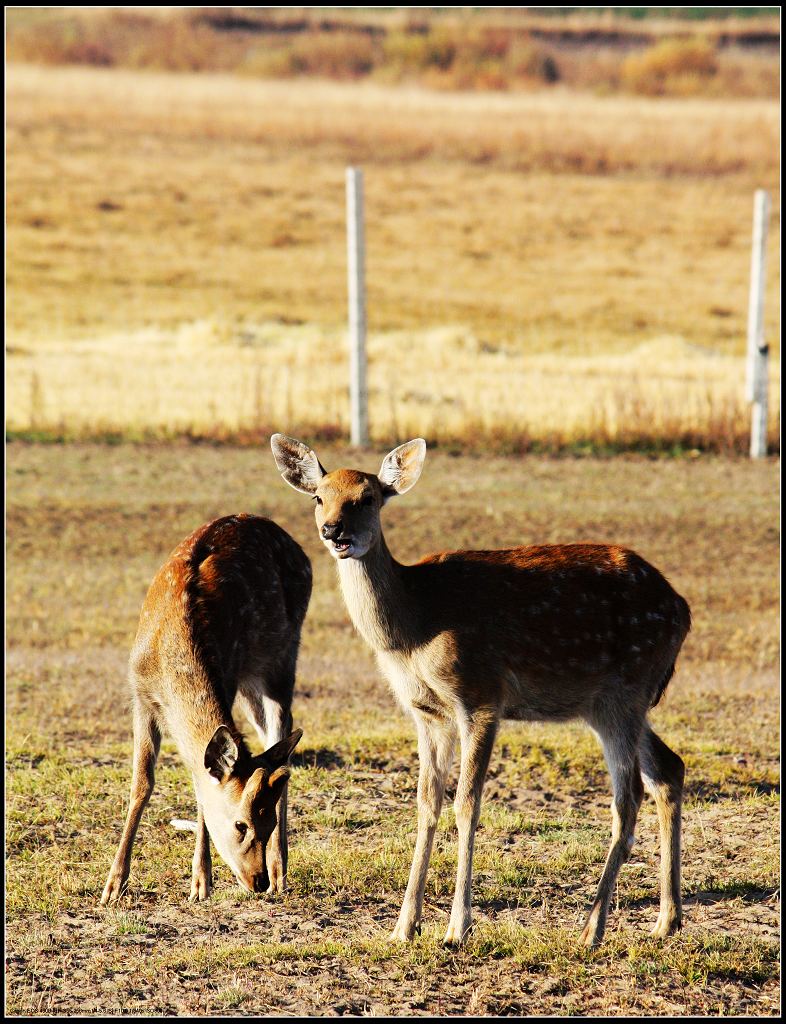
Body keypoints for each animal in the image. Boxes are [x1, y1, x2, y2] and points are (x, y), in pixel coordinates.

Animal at [102, 512, 313, 905]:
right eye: (240, 824)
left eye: (267, 821)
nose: (257, 880)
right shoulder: (140, 694)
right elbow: (142, 783)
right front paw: (113, 884)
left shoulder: (226, 680)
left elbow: (200, 791)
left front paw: (201, 882)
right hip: (253, 684)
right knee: (272, 745)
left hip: (281, 657)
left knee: (281, 734)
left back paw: (281, 871)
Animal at [274, 432, 691, 942]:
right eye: (319, 497)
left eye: (367, 498)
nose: (334, 531)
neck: (413, 627)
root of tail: (682, 609)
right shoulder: (426, 712)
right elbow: (426, 803)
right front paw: (404, 925)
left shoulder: (481, 696)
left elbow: (466, 805)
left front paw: (458, 927)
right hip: (611, 702)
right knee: (668, 769)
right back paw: (666, 919)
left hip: (626, 689)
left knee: (626, 802)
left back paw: (592, 929)